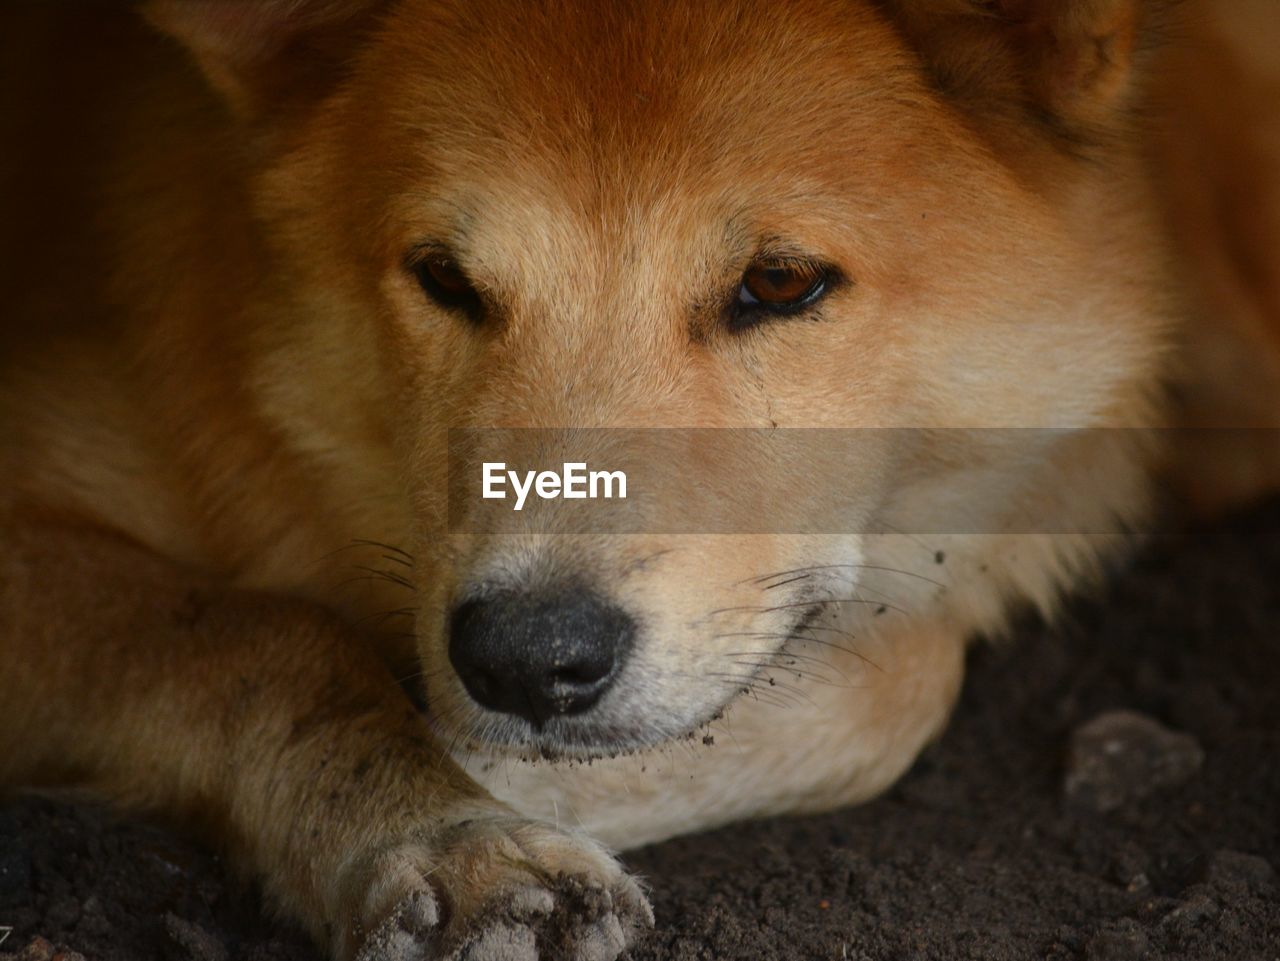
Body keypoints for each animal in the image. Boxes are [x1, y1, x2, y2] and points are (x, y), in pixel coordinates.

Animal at [0, 0, 1274, 957]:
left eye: (779, 282)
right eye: (444, 278)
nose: (523, 660)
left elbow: (905, 674)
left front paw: (489, 778)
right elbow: (258, 640)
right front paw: (438, 824)